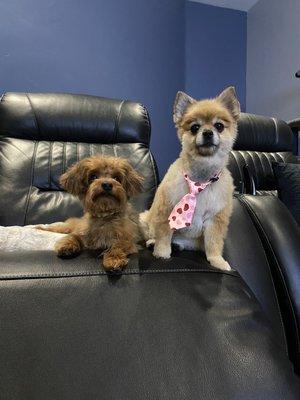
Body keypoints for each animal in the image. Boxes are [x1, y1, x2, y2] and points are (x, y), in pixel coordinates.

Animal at [139, 86, 240, 270]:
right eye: (194, 127)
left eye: (219, 126)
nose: (207, 132)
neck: (201, 177)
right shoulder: (167, 208)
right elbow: (163, 233)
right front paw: (162, 253)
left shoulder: (216, 219)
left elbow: (214, 243)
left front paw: (217, 261)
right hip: (144, 219)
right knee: (154, 234)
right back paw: (152, 243)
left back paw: (178, 245)